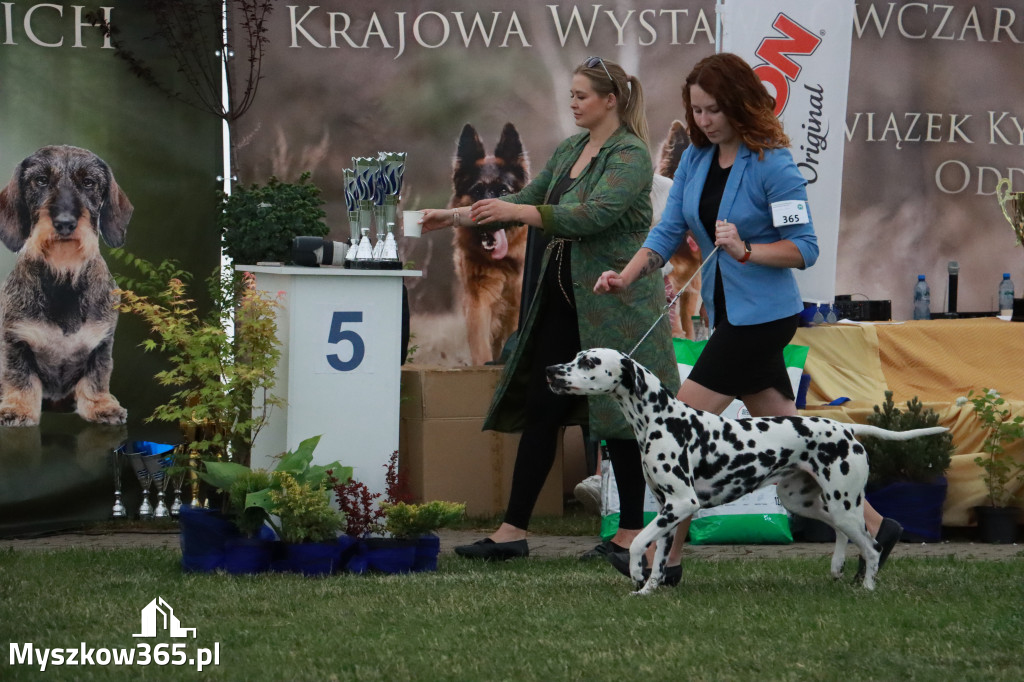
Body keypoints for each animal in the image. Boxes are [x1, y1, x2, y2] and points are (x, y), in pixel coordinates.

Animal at [548, 348, 946, 593]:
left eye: (589, 361)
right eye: (576, 357)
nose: (551, 370)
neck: (661, 419)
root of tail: (846, 429)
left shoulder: (682, 504)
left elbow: (636, 544)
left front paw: (633, 573)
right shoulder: (667, 510)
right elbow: (657, 557)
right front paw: (647, 589)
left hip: (842, 503)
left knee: (873, 546)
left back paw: (867, 587)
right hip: (811, 503)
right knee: (845, 535)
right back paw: (837, 568)